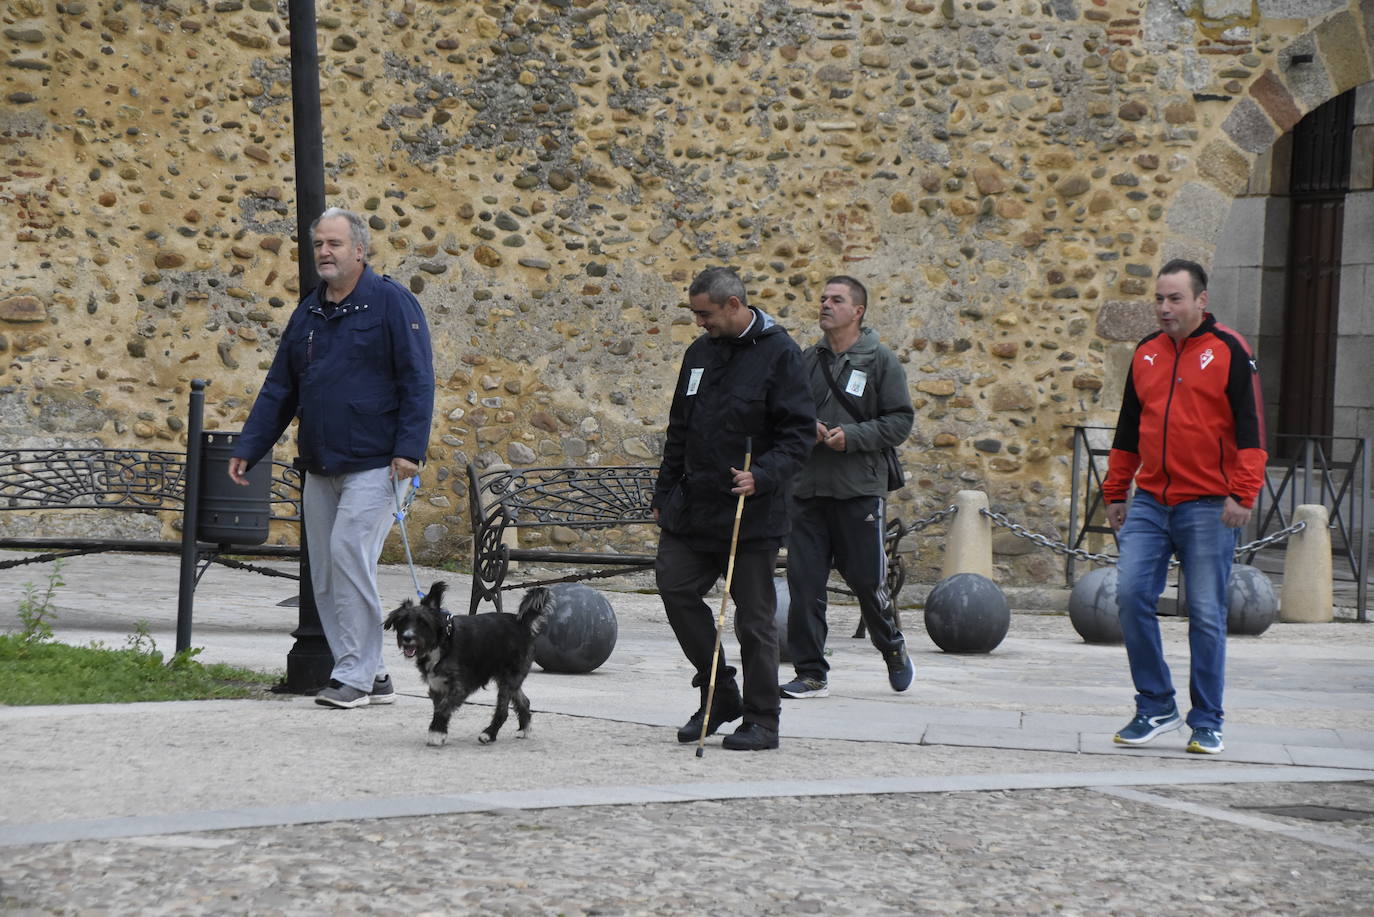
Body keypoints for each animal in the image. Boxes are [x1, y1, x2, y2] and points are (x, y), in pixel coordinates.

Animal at [381, 585, 552, 747]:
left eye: (423, 622)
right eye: (402, 621)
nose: (407, 637)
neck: (443, 641)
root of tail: (522, 623)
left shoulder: (459, 687)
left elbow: (443, 709)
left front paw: (436, 733)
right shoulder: (437, 686)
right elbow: (440, 708)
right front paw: (441, 732)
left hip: (510, 677)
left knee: (503, 711)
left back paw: (489, 734)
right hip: (509, 678)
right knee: (524, 701)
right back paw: (524, 729)